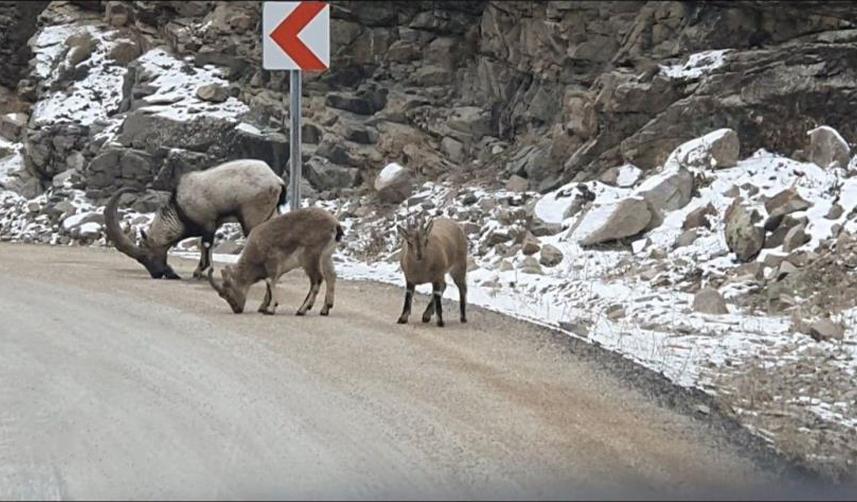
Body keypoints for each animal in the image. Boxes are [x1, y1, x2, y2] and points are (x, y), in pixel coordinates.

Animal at [105, 159, 286, 280]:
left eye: (145, 256)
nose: (157, 274)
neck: (179, 210)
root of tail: (277, 181)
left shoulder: (207, 223)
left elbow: (206, 244)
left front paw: (201, 271)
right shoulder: (214, 223)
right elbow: (203, 245)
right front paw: (201, 271)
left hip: (252, 216)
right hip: (271, 213)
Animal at [206, 206, 342, 316]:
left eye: (227, 293)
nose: (237, 309)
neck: (257, 248)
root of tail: (335, 225)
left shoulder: (273, 264)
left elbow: (271, 283)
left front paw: (271, 309)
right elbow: (269, 284)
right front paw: (264, 307)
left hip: (310, 258)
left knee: (317, 280)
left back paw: (302, 310)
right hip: (326, 257)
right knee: (331, 276)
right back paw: (325, 309)